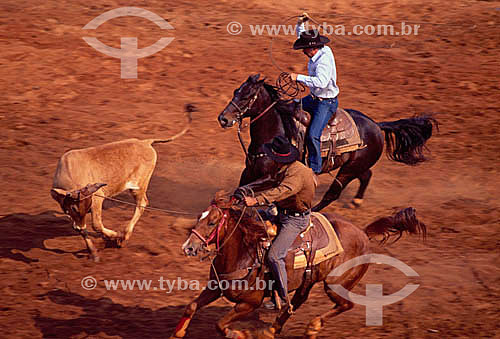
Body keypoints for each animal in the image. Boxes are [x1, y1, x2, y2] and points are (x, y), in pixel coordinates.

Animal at [172, 193, 426, 338]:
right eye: (199, 216)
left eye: (212, 222)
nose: (188, 247)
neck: (244, 253)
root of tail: (363, 233)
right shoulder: (215, 287)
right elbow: (191, 307)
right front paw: (178, 333)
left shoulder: (249, 303)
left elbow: (220, 324)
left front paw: (239, 334)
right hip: (309, 281)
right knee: (297, 301)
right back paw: (273, 329)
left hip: (335, 285)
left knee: (346, 304)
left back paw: (312, 327)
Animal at [217, 75, 436, 211]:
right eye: (235, 91)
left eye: (247, 95)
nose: (223, 119)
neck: (274, 134)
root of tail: (376, 125)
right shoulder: (249, 171)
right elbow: (239, 189)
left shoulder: (272, 177)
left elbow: (242, 191)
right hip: (356, 165)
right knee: (366, 175)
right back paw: (356, 201)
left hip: (347, 170)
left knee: (333, 193)